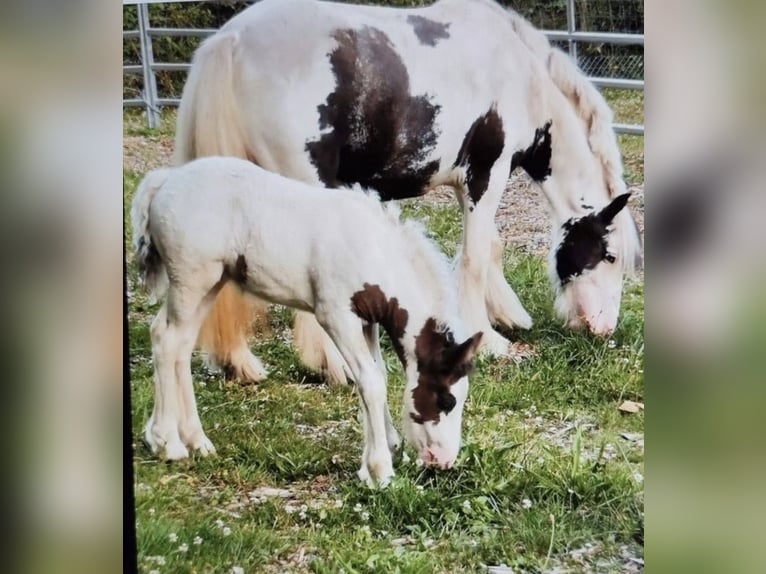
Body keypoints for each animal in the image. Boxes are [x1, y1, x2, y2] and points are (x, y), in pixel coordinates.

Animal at [131, 156, 483, 486]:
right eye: (447, 400)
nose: (444, 461)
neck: (373, 250)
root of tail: (166, 180)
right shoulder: (335, 316)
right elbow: (370, 382)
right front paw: (380, 470)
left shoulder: (366, 320)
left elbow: (377, 375)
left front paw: (386, 447)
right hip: (191, 280)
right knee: (166, 339)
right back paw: (168, 444)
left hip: (211, 283)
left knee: (179, 343)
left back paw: (196, 441)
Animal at [174, 0, 643, 385]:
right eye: (610, 256)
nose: (602, 328)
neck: (521, 77)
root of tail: (230, 42)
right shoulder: (486, 176)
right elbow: (475, 257)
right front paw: (491, 340)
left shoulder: (466, 183)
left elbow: (487, 247)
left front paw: (508, 315)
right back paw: (333, 366)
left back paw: (239, 363)